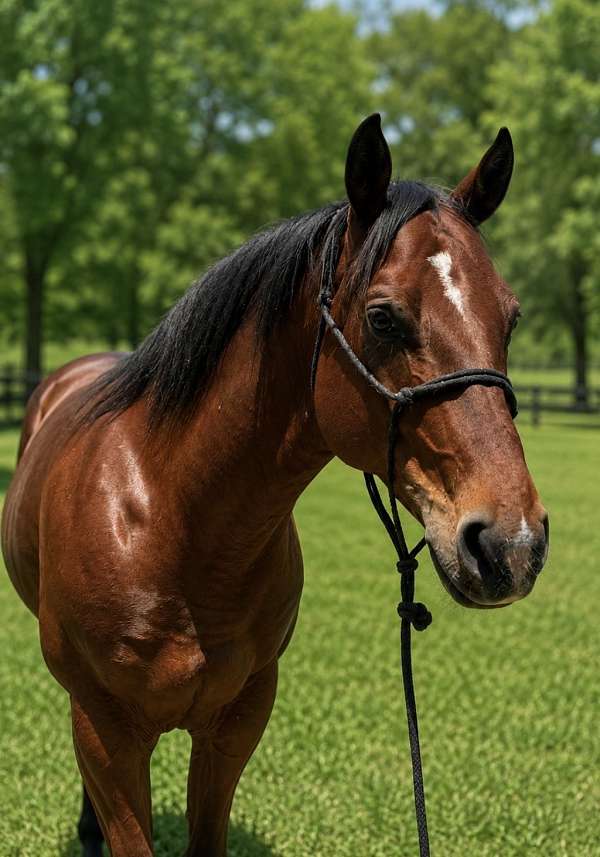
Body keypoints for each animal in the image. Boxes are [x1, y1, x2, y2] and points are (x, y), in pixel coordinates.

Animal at [1, 114, 548, 856]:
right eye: (382, 317)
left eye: (510, 317)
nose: (510, 543)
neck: (171, 520)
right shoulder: (107, 729)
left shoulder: (237, 724)